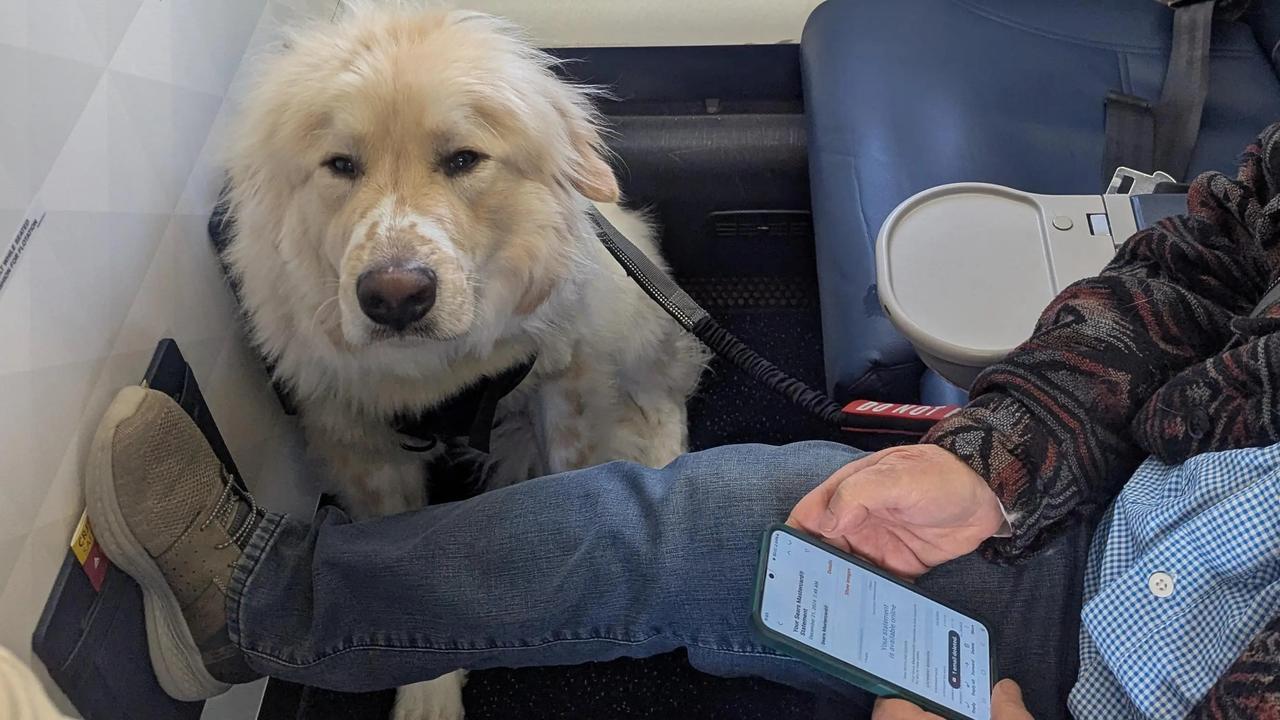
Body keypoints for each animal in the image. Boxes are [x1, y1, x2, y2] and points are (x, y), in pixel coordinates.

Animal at [218, 2, 706, 712]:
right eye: (340, 165)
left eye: (462, 159)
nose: (394, 297)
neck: (438, 374)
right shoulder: (358, 440)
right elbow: (396, 570)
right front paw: (428, 695)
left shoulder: (566, 383)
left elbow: (568, 476)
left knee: (663, 399)